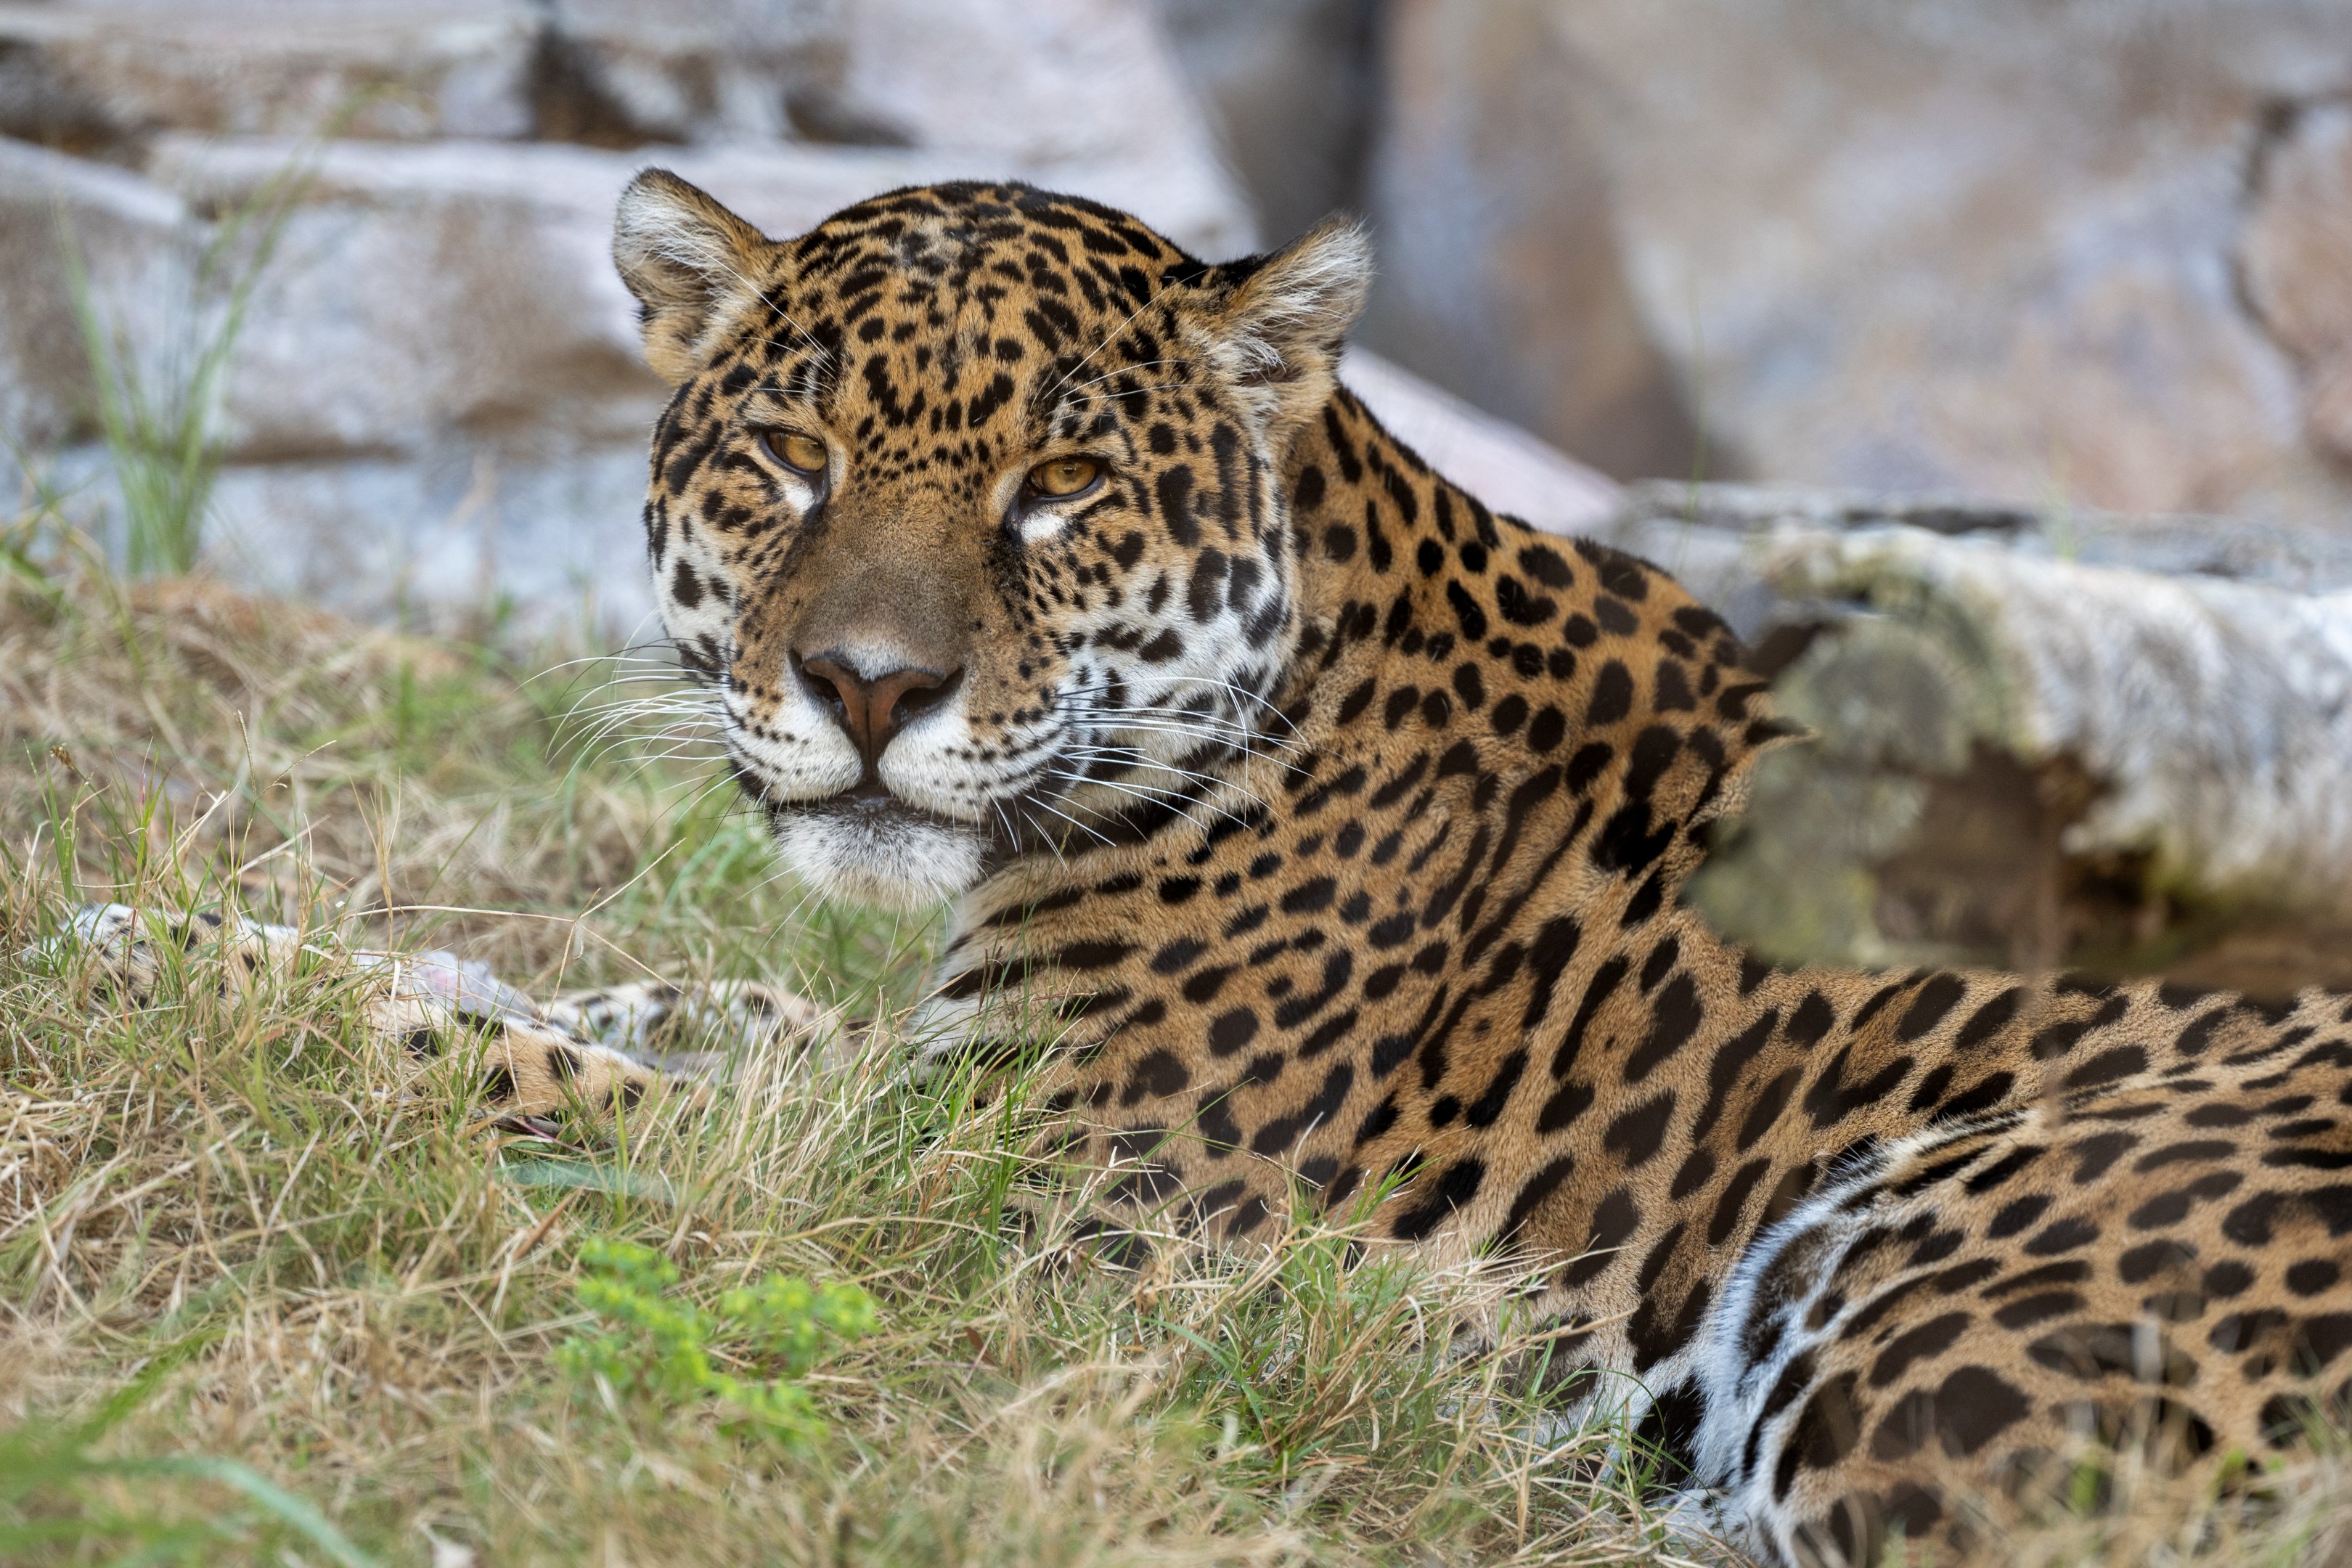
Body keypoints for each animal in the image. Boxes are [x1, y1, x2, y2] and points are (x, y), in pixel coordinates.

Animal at [56, 172, 2352, 1566]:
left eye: (1060, 487)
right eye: (790, 461)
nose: (867, 685)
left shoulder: (1008, 1202)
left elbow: (607, 1094)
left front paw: (160, 965)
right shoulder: (932, 1077)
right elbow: (707, 1011)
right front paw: (273, 935)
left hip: (1948, 1256)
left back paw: (1404, 1341)